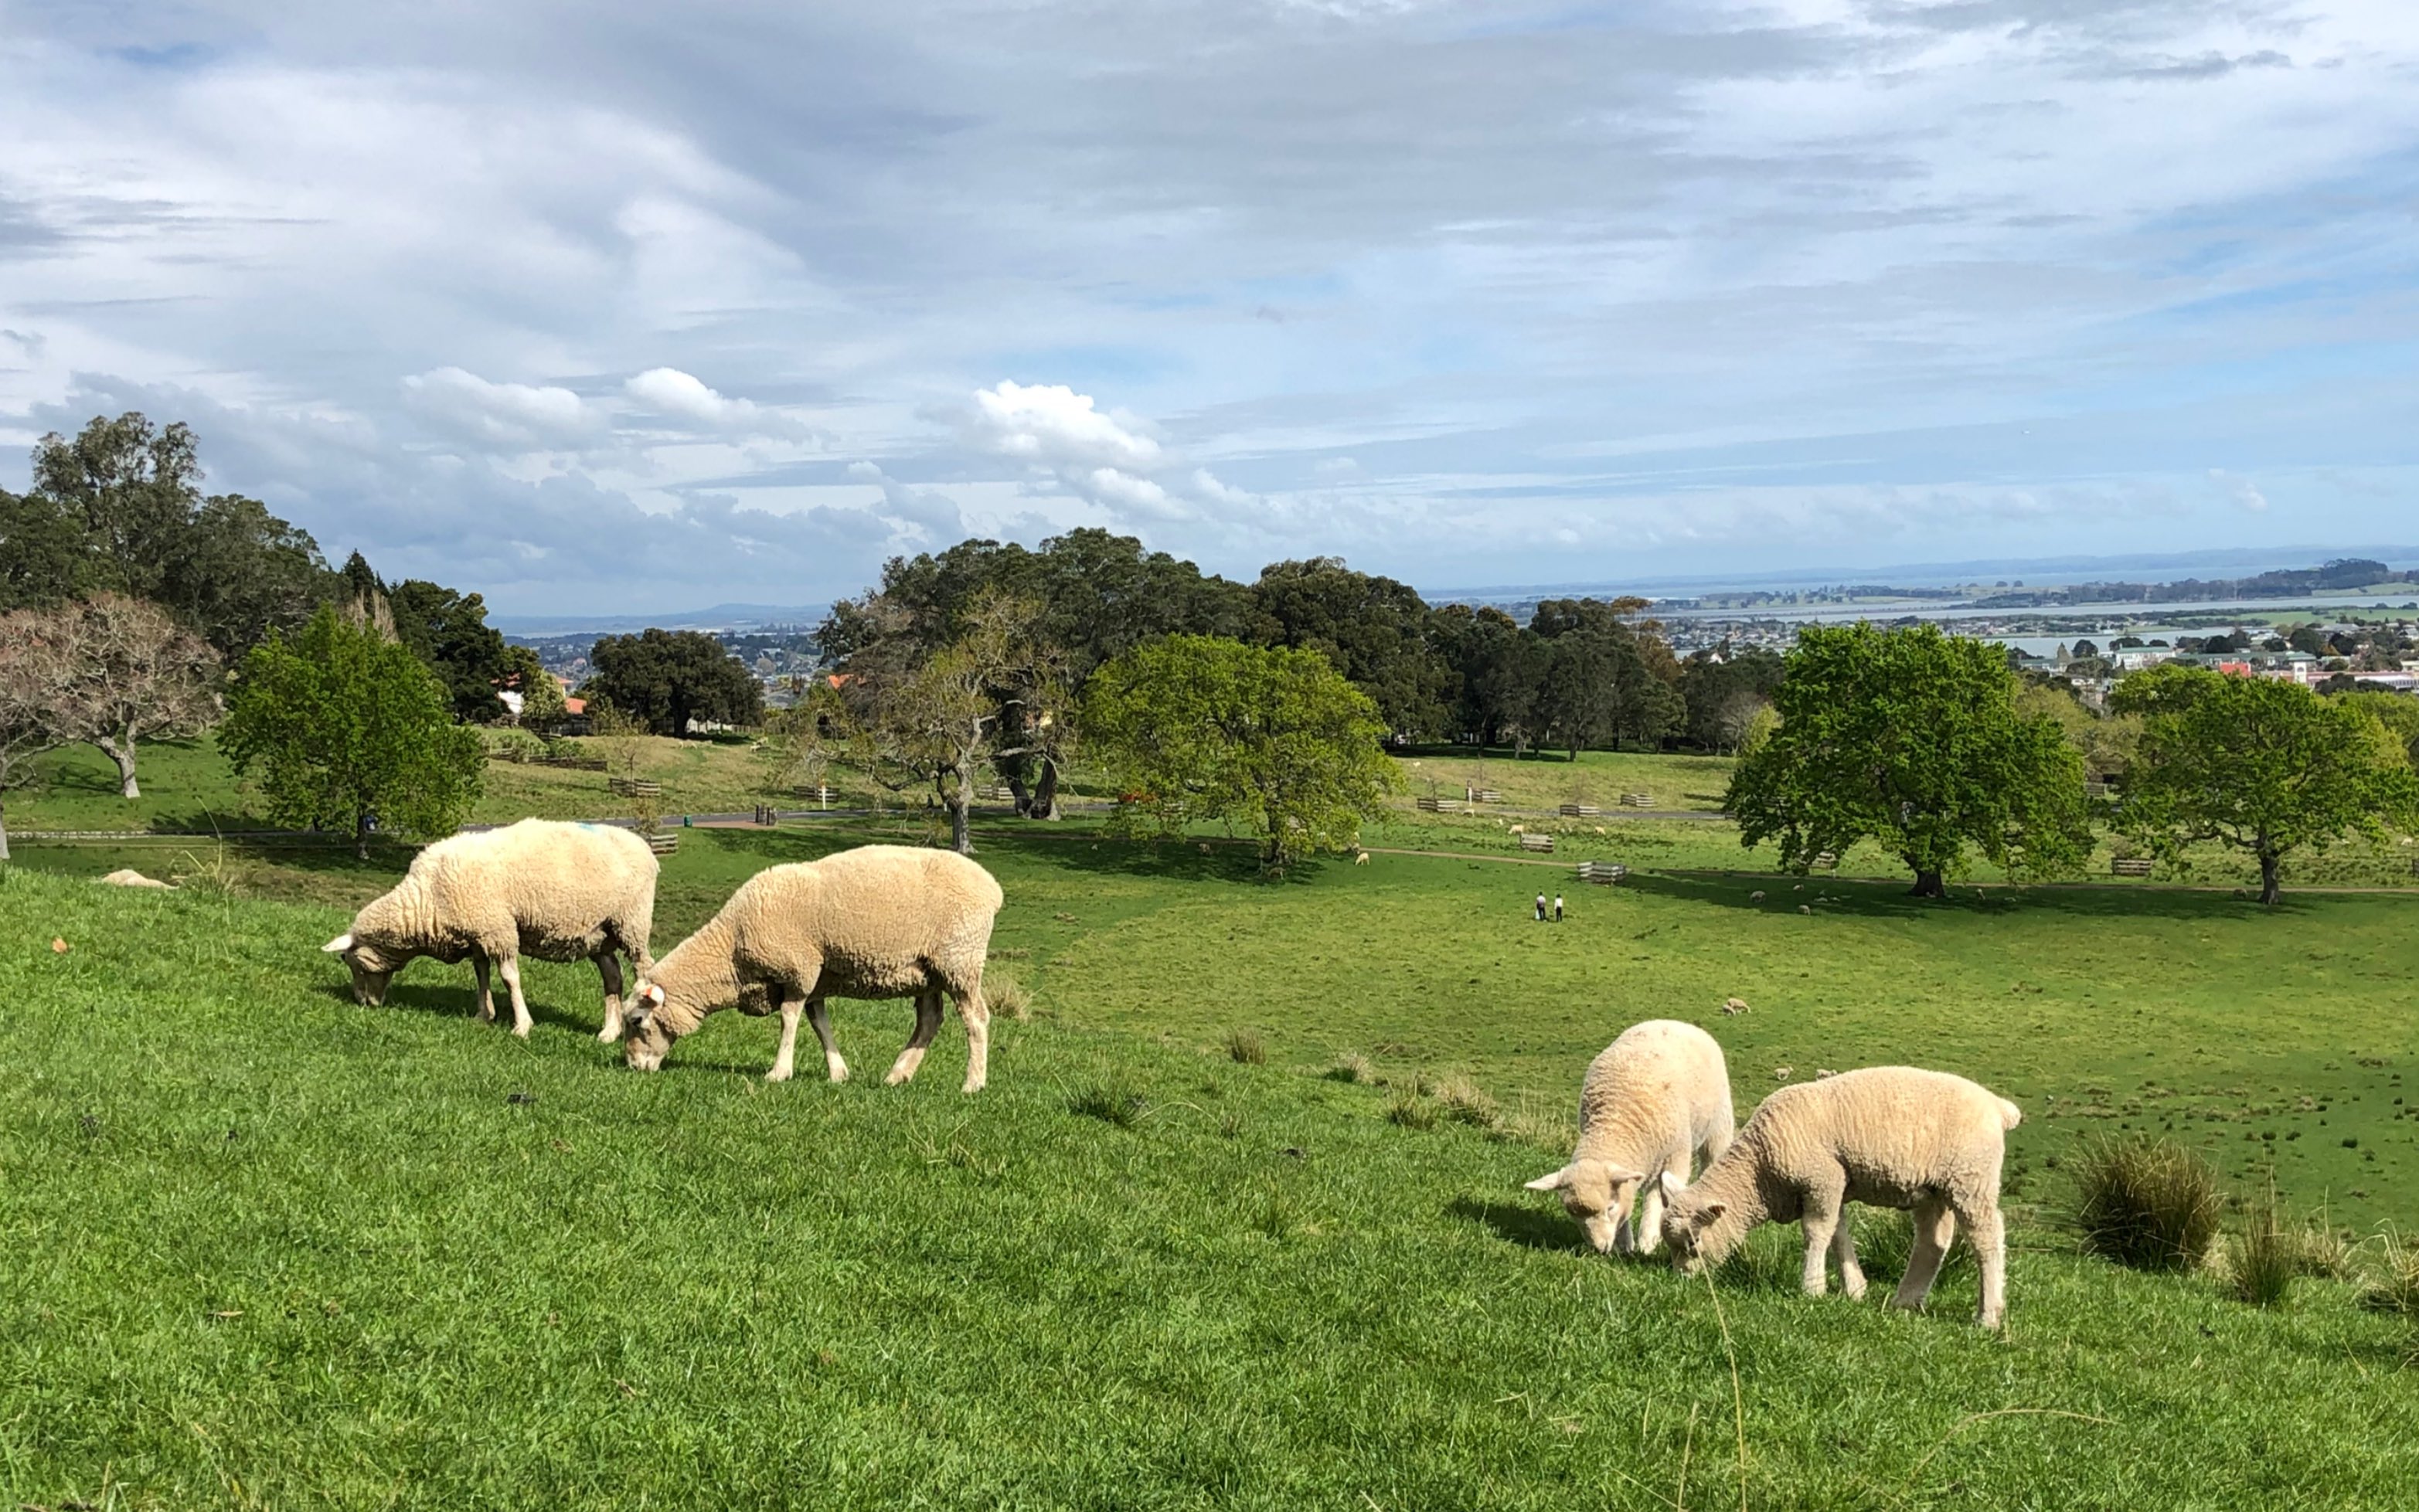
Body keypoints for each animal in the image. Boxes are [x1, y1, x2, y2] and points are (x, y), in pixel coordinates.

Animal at [322, 817, 667, 1045]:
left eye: (350, 962)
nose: (363, 1003)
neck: (428, 900)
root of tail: (644, 847)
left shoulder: (499, 929)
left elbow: (509, 978)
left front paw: (522, 1026)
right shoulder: (479, 934)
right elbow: (481, 973)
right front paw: (483, 1016)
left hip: (632, 923)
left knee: (643, 968)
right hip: (599, 933)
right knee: (613, 977)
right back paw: (609, 1032)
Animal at [624, 841, 1011, 1089]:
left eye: (637, 1021)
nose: (633, 1067)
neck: (732, 947)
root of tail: (992, 888)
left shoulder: (798, 970)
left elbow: (789, 1019)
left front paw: (779, 1071)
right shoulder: (816, 978)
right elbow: (819, 1023)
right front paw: (838, 1072)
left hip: (959, 960)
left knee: (976, 1019)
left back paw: (973, 1082)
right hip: (928, 972)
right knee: (929, 1020)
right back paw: (897, 1075)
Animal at [1519, 1021, 1732, 1258]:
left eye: (1610, 1207)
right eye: (1573, 1214)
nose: (1599, 1249)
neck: (1616, 1121)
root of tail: (1675, 1023)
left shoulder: (1674, 1156)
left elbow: (1655, 1200)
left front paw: (1647, 1242)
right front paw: (1626, 1244)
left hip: (1718, 1127)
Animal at [1664, 1069, 2022, 1325]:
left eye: (1694, 1243)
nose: (1682, 1280)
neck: (1758, 1168)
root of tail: (1998, 1107)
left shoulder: (1823, 1178)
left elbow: (1817, 1233)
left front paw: (1813, 1288)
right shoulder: (1834, 1185)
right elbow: (1838, 1233)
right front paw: (1855, 1289)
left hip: (1971, 1178)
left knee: (1987, 1239)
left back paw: (1988, 1316)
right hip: (1936, 1189)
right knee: (1932, 1243)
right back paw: (1905, 1301)